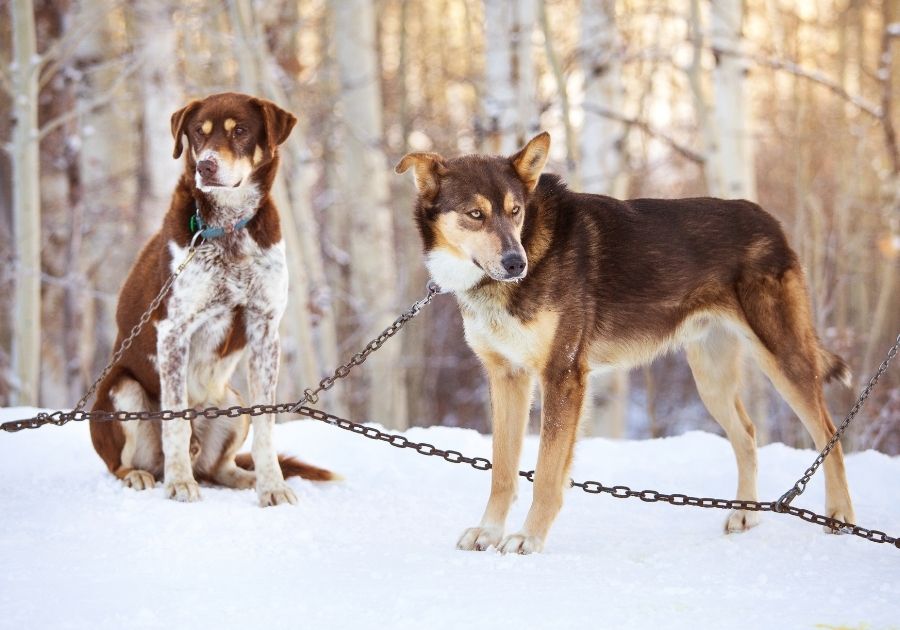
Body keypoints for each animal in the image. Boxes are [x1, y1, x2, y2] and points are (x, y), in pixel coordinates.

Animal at [90, 92, 334, 508]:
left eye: (241, 131)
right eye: (197, 133)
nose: (205, 166)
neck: (227, 228)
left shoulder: (264, 328)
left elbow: (268, 425)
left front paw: (272, 486)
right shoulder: (173, 331)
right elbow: (174, 421)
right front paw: (179, 484)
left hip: (232, 405)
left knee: (219, 468)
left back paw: (243, 478)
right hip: (123, 390)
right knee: (124, 462)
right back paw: (143, 475)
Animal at [398, 132, 856, 552]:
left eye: (515, 212)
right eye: (475, 214)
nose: (516, 263)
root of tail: (769, 221)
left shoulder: (562, 376)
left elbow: (546, 473)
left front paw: (529, 538)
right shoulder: (507, 377)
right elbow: (503, 471)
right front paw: (489, 532)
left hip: (782, 358)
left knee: (828, 432)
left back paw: (840, 515)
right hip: (710, 378)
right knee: (746, 434)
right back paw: (745, 514)